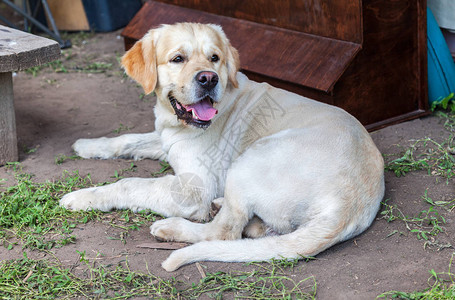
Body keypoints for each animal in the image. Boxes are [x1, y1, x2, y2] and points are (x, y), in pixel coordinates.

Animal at [60, 22, 386, 272]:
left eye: (214, 57)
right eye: (178, 58)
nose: (208, 79)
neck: (178, 122)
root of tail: (349, 205)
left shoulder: (194, 189)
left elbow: (130, 183)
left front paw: (82, 197)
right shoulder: (167, 139)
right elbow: (130, 139)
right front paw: (89, 145)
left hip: (249, 161)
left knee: (224, 232)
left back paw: (172, 228)